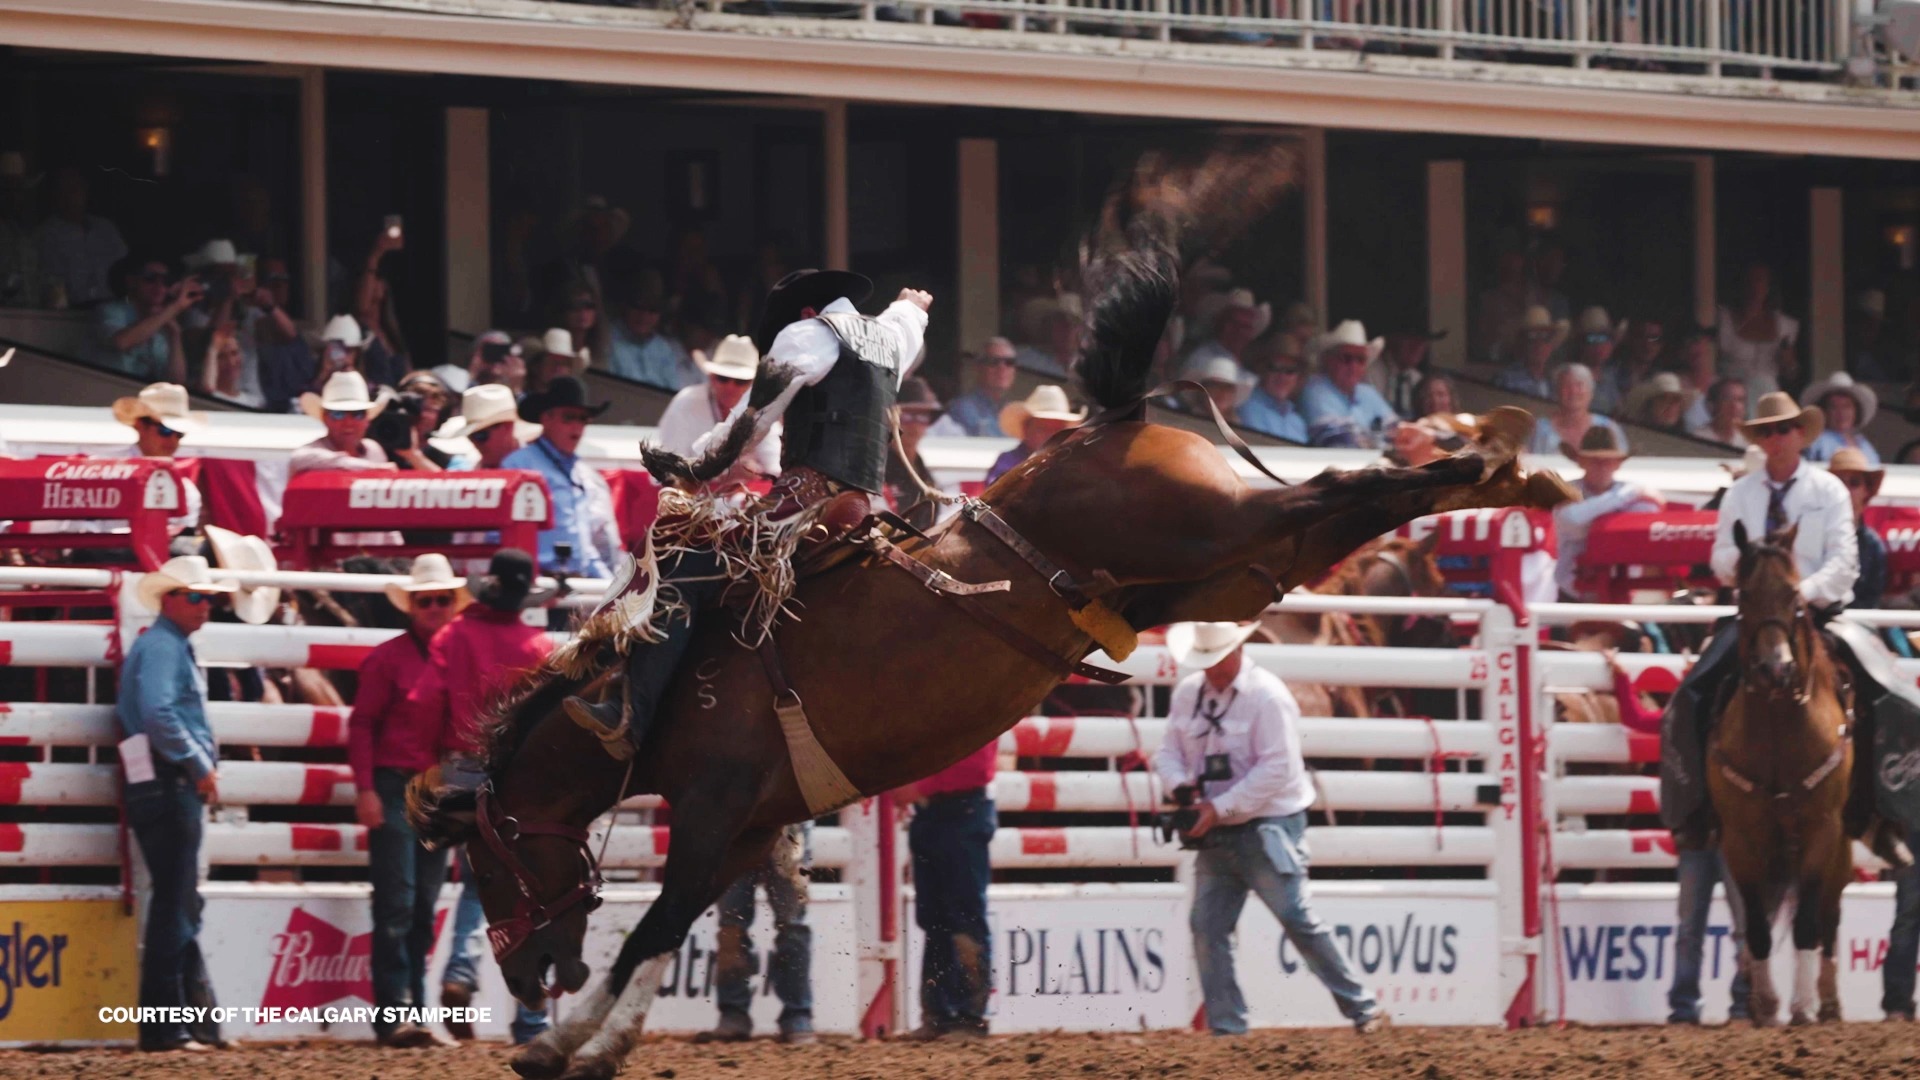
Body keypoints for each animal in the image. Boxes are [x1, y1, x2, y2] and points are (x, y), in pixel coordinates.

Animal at [406, 152, 1576, 1080]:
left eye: (487, 862)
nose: (526, 971)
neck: (663, 690)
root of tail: (1117, 417)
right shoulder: (747, 833)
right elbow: (672, 932)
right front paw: (590, 1043)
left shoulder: (711, 811)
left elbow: (651, 922)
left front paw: (562, 1042)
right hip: (1221, 571)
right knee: (1328, 513)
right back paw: (1506, 465)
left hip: (1213, 530)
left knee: (1338, 487)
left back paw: (1498, 462)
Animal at [1708, 521, 1853, 1026]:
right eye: (1745, 593)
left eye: (1793, 594)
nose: (1776, 669)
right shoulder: (1740, 839)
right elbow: (1756, 923)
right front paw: (1767, 1004)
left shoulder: (1823, 831)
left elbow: (1809, 920)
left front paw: (1802, 1004)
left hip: (1841, 846)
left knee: (1829, 915)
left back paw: (1826, 1001)